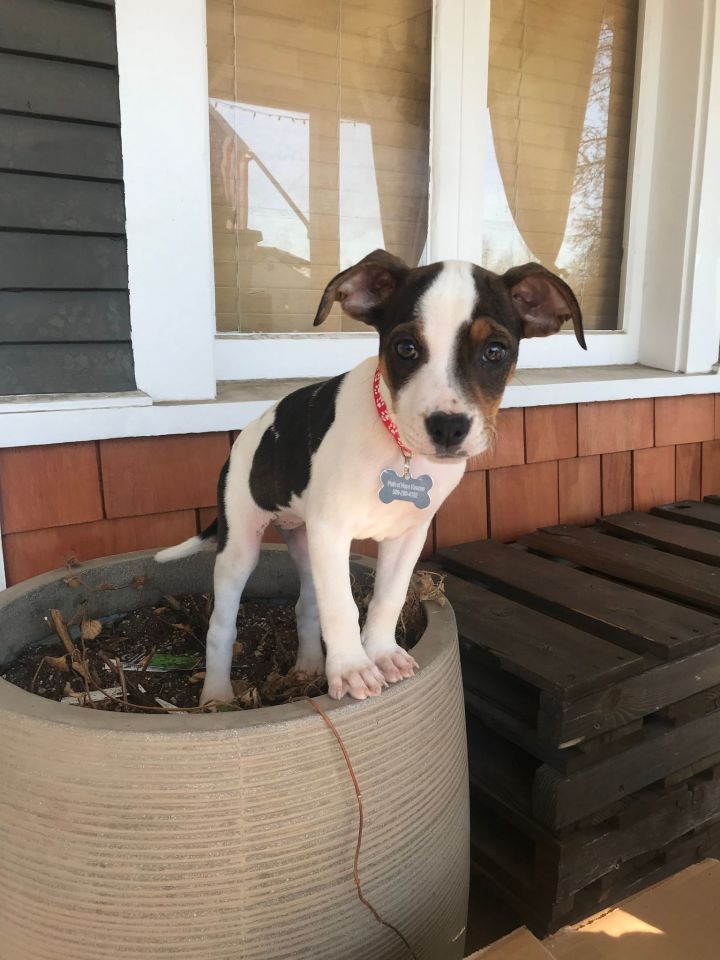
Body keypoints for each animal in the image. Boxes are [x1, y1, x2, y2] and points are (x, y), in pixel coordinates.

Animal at [156, 255, 584, 704]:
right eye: (406, 348)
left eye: (495, 351)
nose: (448, 427)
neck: (401, 450)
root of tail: (241, 441)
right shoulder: (332, 531)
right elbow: (342, 606)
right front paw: (352, 668)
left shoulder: (407, 535)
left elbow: (387, 597)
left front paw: (380, 653)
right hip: (241, 545)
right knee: (222, 626)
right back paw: (217, 696)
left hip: (305, 542)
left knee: (308, 604)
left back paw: (309, 668)